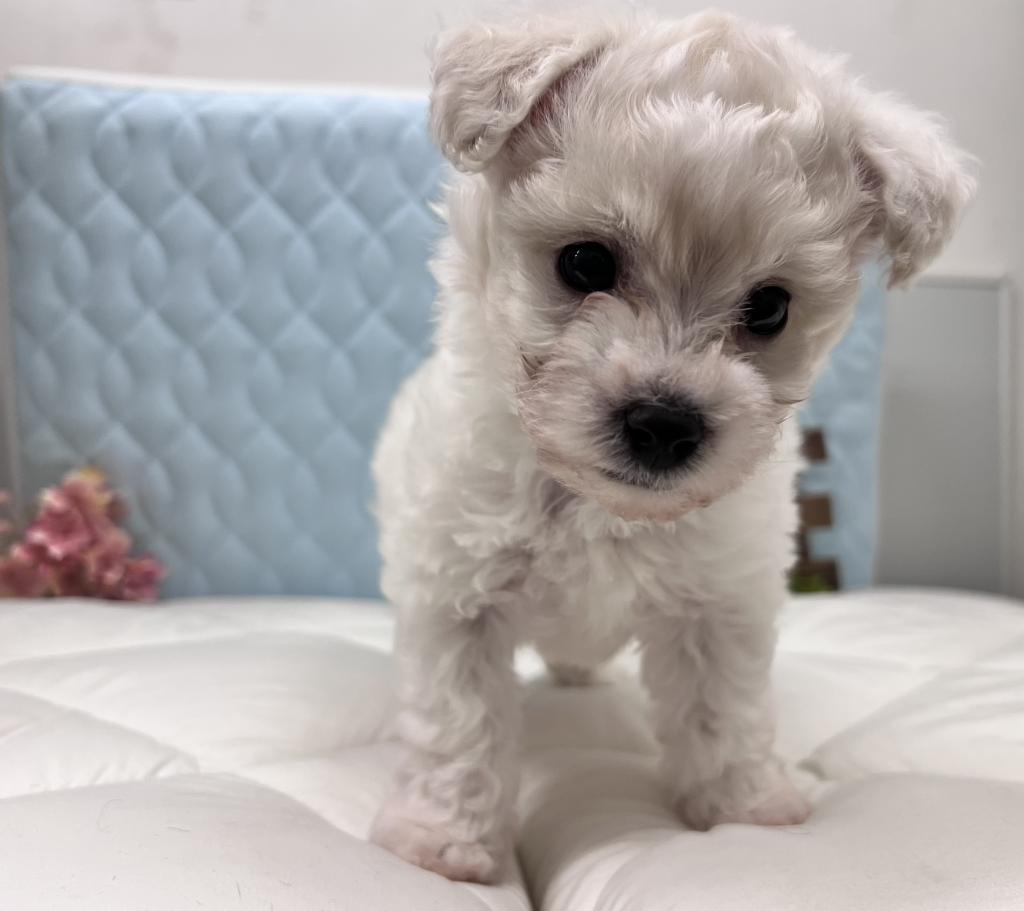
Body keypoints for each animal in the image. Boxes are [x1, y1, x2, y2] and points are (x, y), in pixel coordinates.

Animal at [369, 9, 973, 883]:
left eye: (770, 307)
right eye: (585, 261)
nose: (664, 422)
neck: (600, 504)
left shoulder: (719, 601)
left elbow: (722, 709)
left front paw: (744, 809)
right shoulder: (456, 591)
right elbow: (459, 723)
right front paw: (442, 837)